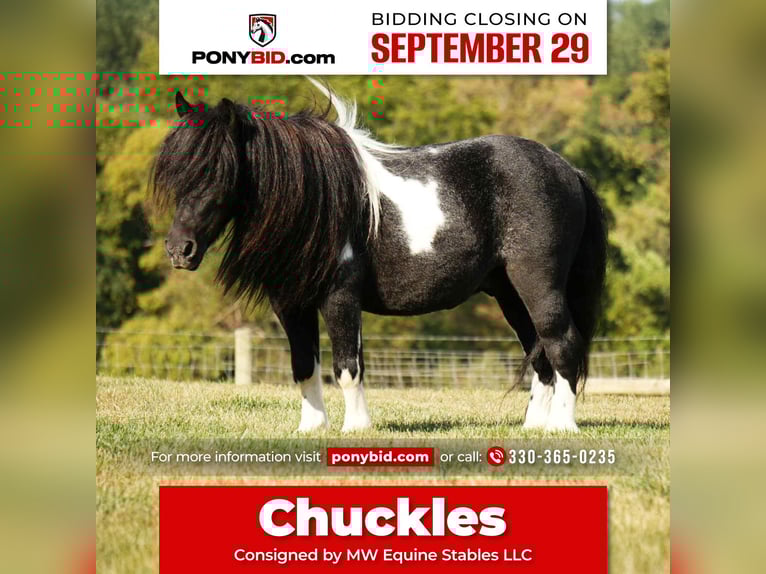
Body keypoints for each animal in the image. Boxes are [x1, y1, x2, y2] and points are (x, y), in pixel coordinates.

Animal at [153, 79, 607, 433]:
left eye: (218, 172)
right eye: (175, 172)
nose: (179, 250)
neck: (317, 200)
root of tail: (567, 169)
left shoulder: (340, 298)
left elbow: (347, 367)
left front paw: (355, 428)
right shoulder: (291, 304)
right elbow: (304, 366)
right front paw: (311, 429)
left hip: (539, 286)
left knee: (561, 343)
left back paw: (562, 426)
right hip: (510, 294)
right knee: (540, 352)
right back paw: (534, 427)